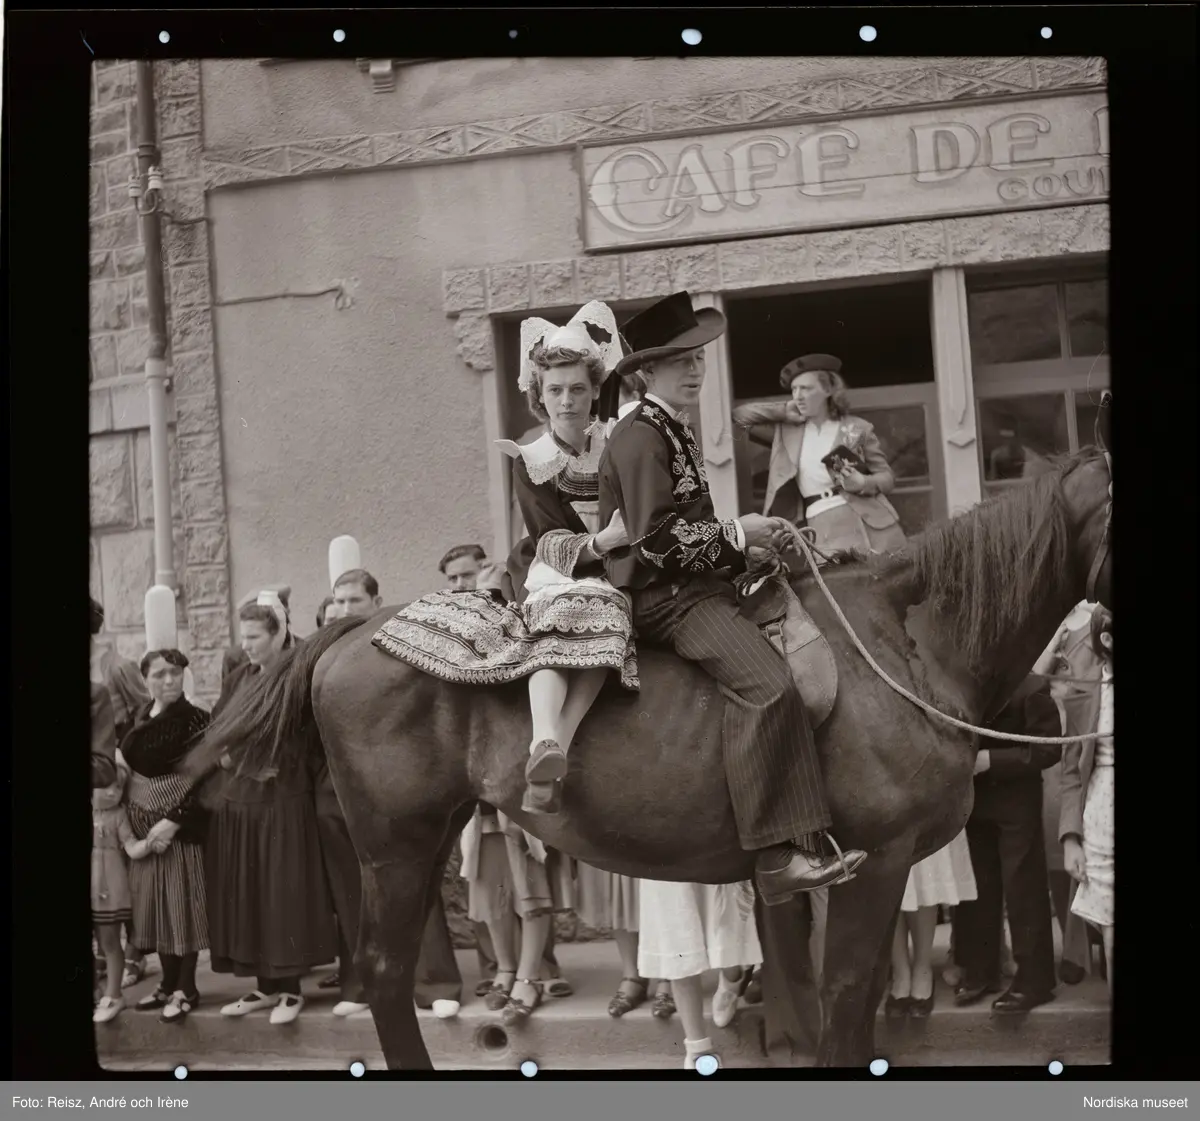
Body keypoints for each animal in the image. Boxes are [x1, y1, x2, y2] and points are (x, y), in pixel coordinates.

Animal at [184, 447, 1111, 1070]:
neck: (902, 642)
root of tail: (346, 632)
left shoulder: (867, 873)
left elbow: (837, 1000)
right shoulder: (874, 863)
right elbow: (845, 1002)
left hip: (421, 836)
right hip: (395, 846)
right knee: (381, 973)